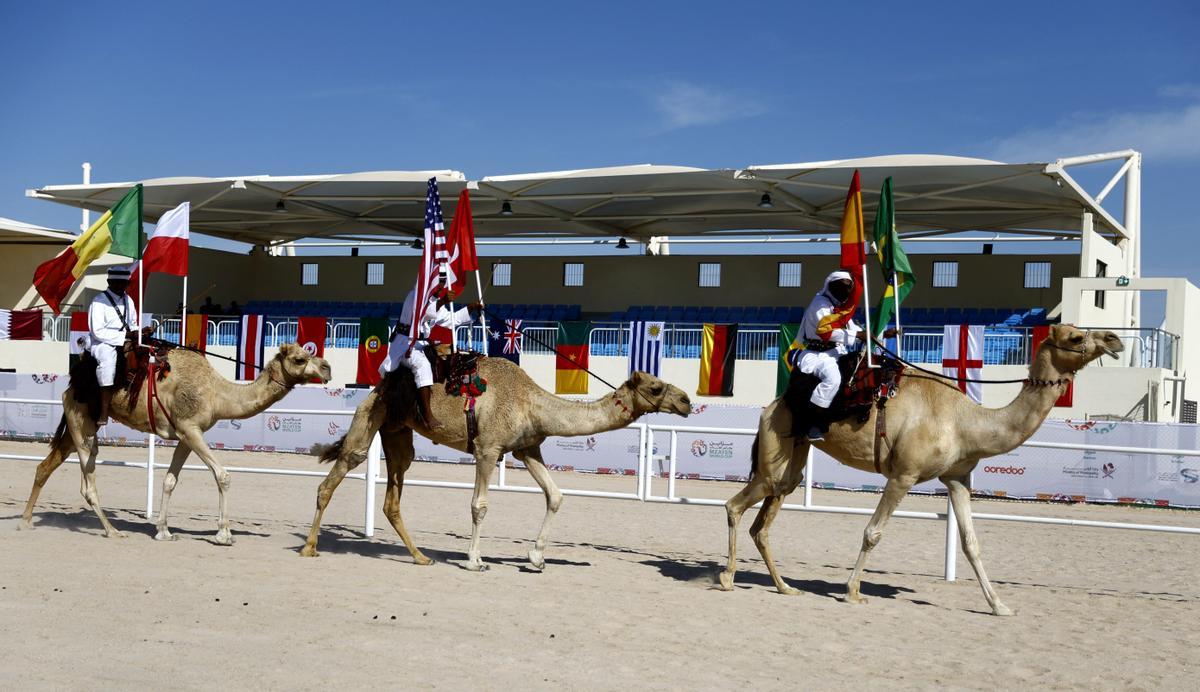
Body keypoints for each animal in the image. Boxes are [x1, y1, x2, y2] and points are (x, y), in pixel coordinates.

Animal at [18, 343, 336, 542]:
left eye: (310, 351)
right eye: (299, 358)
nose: (327, 368)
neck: (217, 393)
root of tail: (70, 386)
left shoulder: (186, 435)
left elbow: (170, 480)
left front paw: (163, 531)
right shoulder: (190, 427)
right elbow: (222, 475)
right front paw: (224, 534)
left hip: (76, 426)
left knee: (46, 466)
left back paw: (26, 520)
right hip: (82, 424)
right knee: (87, 482)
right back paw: (111, 531)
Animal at [302, 354, 696, 566]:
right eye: (656, 387)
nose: (687, 401)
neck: (532, 404)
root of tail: (377, 386)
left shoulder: (527, 449)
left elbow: (555, 496)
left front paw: (536, 558)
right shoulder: (487, 449)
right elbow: (479, 506)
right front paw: (475, 560)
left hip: (397, 431)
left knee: (394, 494)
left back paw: (420, 557)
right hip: (371, 416)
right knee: (336, 474)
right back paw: (308, 547)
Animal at [715, 323, 1118, 614]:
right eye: (1075, 336)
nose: (1113, 339)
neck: (966, 422)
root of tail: (772, 405)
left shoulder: (957, 478)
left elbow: (971, 543)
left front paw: (999, 605)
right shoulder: (903, 474)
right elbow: (873, 532)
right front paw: (851, 591)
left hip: (791, 462)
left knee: (764, 520)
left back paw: (784, 586)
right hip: (776, 449)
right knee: (735, 505)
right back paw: (728, 578)